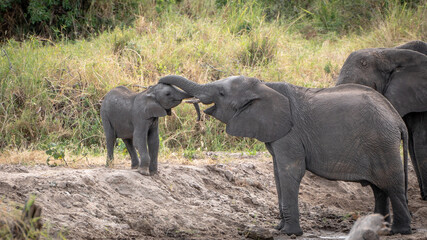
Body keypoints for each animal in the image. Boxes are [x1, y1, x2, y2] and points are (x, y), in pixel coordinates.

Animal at [159, 75, 412, 236]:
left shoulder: (290, 134)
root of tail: (397, 119)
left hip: (382, 142)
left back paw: (399, 231)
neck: (265, 86)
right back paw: (375, 228)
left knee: (392, 185)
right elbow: (277, 174)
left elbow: (289, 171)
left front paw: (291, 233)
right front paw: (279, 229)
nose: (162, 85)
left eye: (221, 93)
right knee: (379, 189)